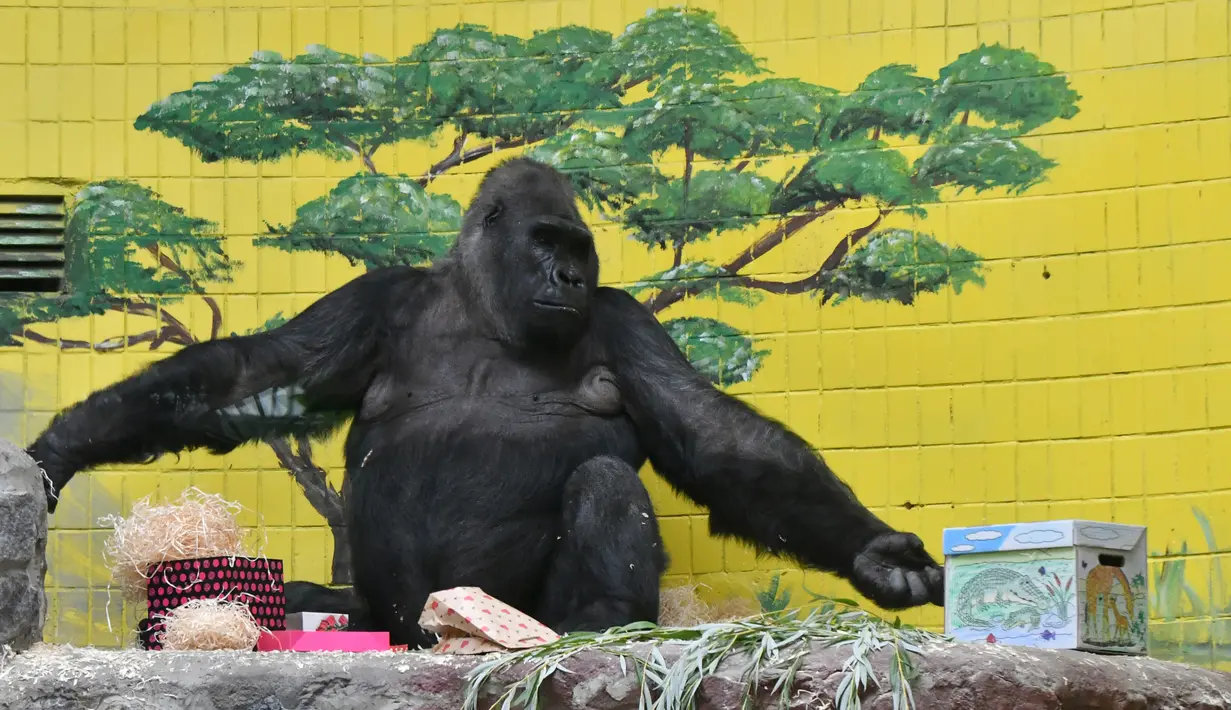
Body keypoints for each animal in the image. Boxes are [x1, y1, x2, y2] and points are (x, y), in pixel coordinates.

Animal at [26, 157, 940, 644]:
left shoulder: (625, 321)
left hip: (513, 616)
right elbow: (252, 378)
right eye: (546, 241)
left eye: (579, 250)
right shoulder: (374, 300)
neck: (485, 306)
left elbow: (713, 438)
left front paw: (874, 555)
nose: (568, 276)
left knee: (605, 483)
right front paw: (61, 447)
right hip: (390, 619)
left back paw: (600, 628)